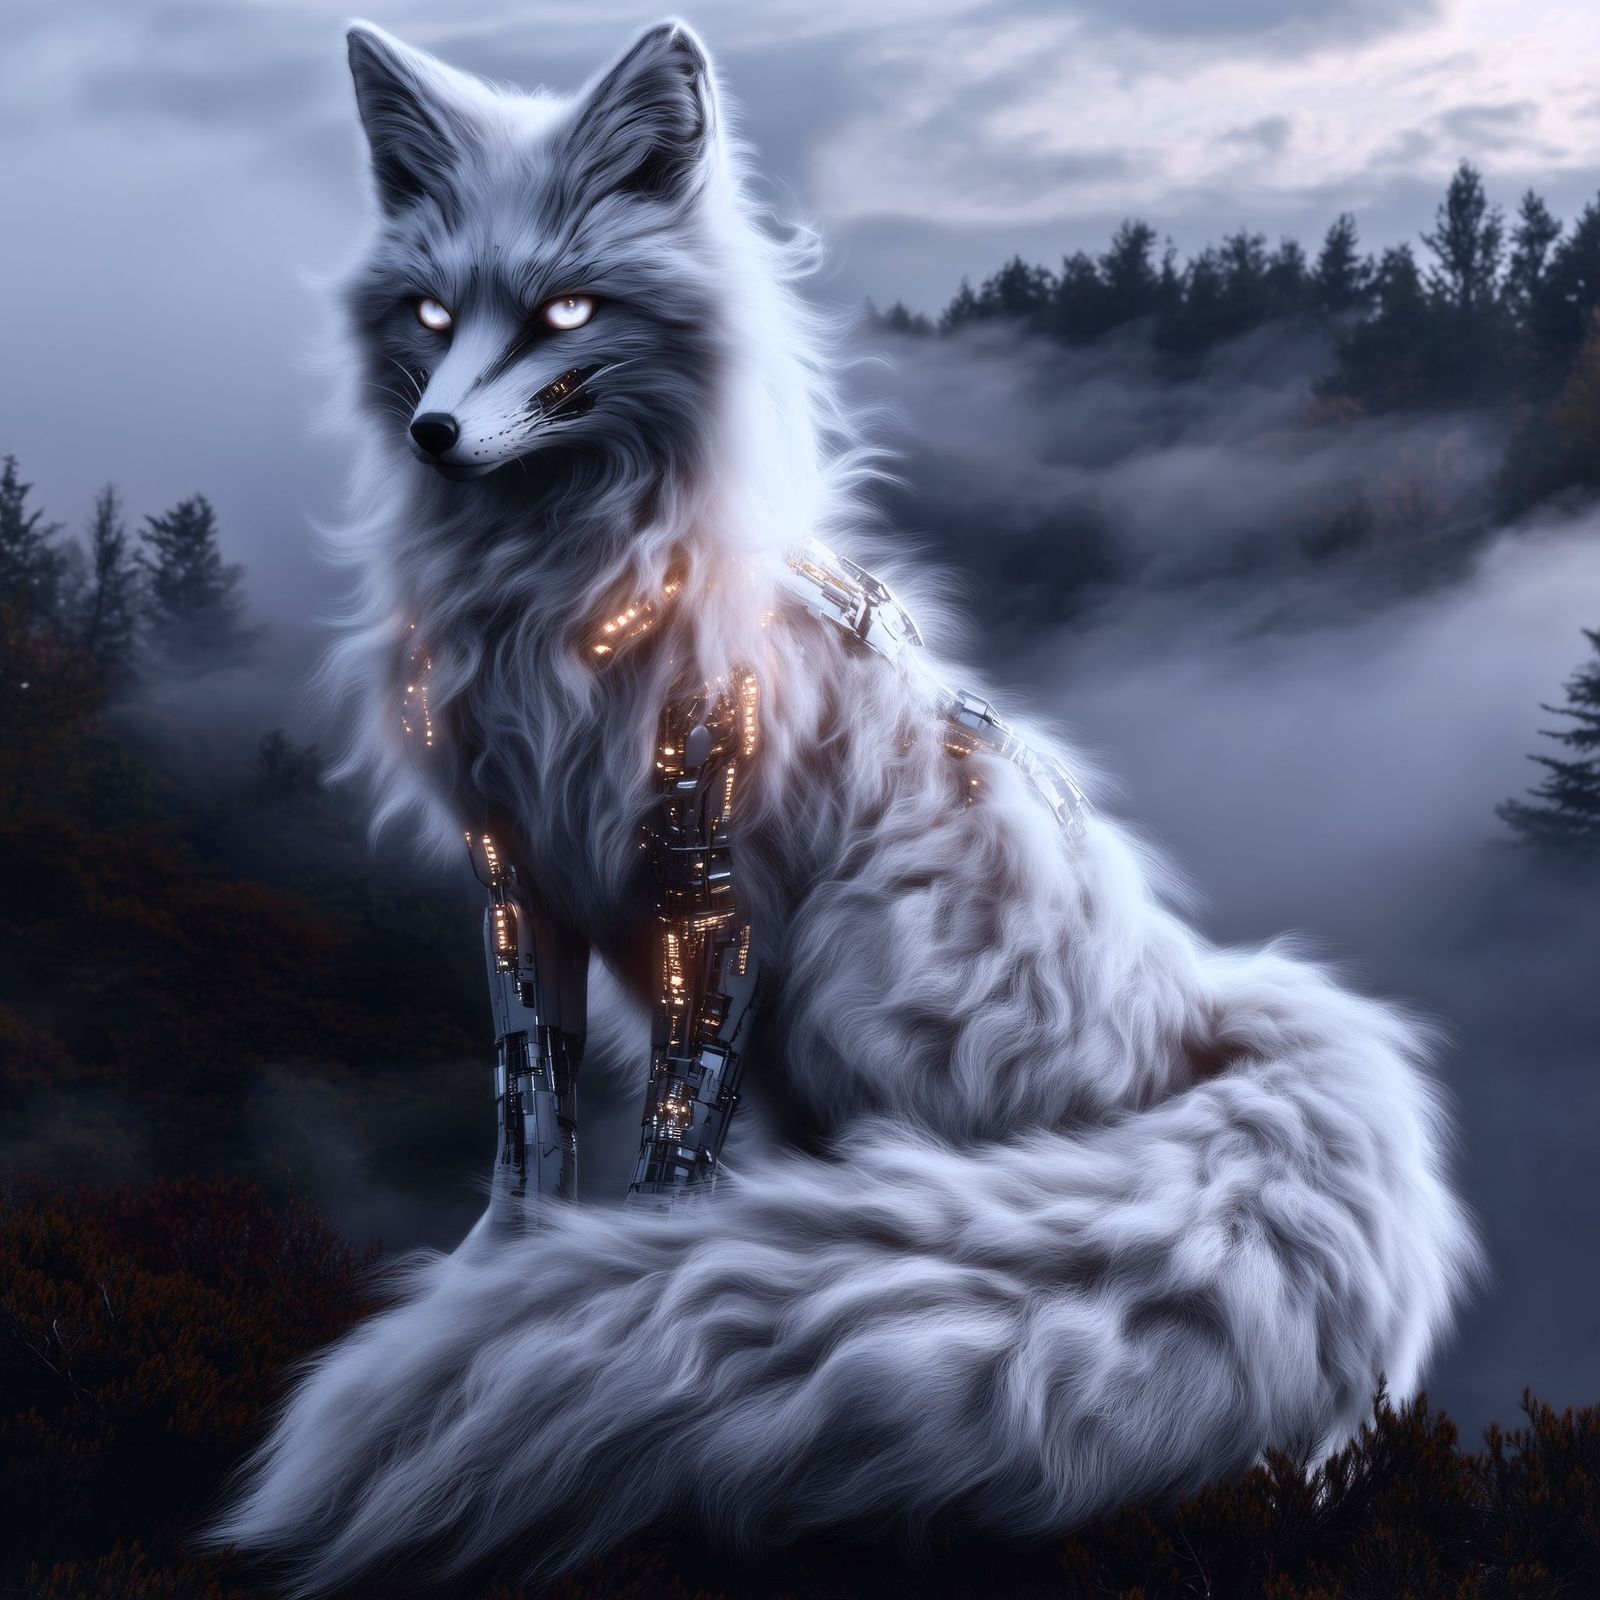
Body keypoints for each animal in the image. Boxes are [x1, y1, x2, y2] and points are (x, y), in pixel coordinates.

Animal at [211, 17, 1481, 1592]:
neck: (564, 604)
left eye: (567, 312)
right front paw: (500, 1278)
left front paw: (613, 1277)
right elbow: (529, 1121)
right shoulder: (516, 879)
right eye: (434, 316)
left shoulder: (717, 901)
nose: (438, 433)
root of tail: (1210, 1008)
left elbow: (670, 1151)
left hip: (857, 974)